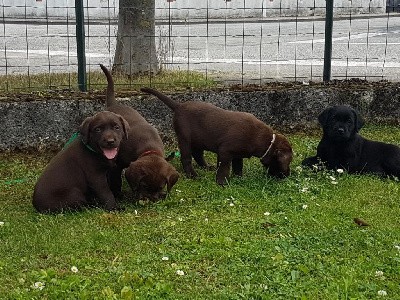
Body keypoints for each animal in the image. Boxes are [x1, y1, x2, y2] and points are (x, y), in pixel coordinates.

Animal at [99, 64, 178, 200]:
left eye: (160, 187)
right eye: (144, 186)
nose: (152, 200)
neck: (149, 147)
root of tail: (113, 104)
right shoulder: (117, 164)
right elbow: (116, 180)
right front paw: (119, 194)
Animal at [141, 86, 294, 185]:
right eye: (286, 161)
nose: (287, 175)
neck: (266, 141)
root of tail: (179, 106)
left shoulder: (238, 154)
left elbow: (238, 166)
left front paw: (238, 178)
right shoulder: (225, 151)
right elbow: (224, 167)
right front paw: (222, 182)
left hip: (198, 140)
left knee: (198, 154)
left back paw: (206, 167)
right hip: (185, 138)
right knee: (186, 158)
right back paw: (193, 175)